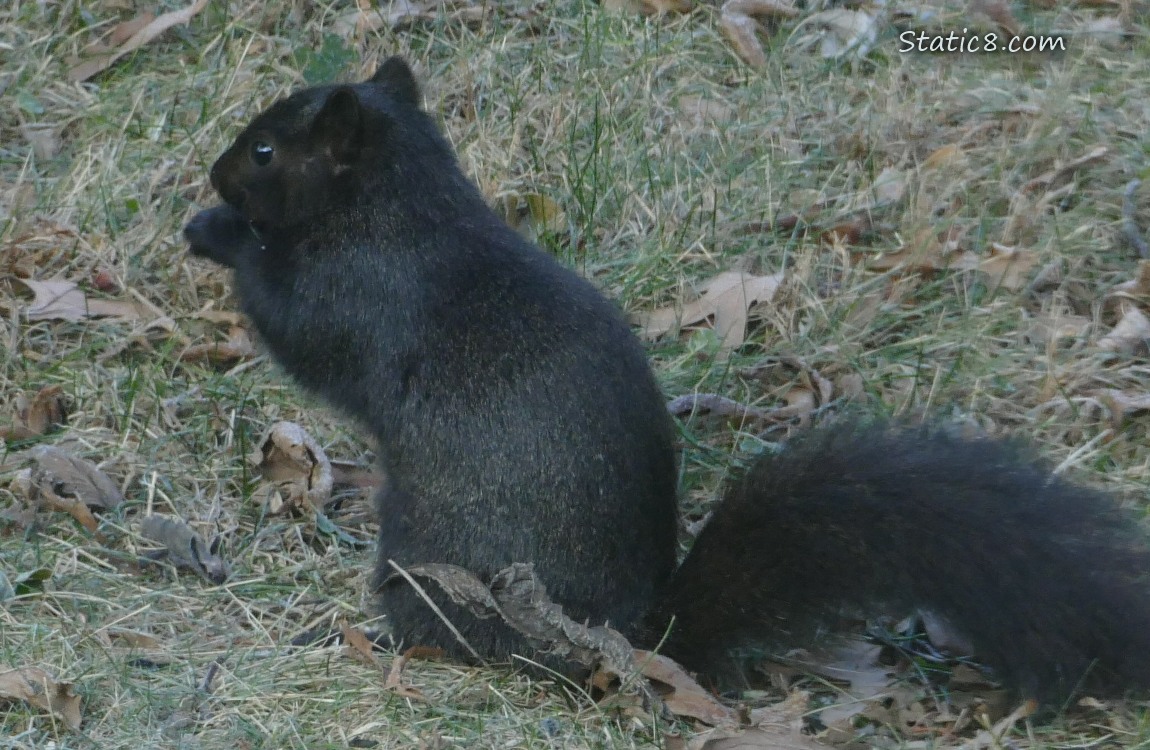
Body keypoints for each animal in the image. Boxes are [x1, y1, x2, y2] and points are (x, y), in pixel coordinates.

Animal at [184, 57, 1150, 703]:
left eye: (265, 151)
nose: (215, 173)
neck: (399, 207)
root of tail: (629, 638)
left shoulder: (357, 296)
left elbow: (292, 323)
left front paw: (216, 231)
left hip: (433, 558)